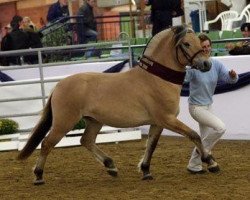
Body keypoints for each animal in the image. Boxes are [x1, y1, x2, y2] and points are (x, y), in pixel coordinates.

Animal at [17, 24, 217, 184]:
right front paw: (211, 162)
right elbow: (194, 135)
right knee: (47, 143)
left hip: (94, 121)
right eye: (186, 44)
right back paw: (38, 176)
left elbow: (151, 146)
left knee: (85, 140)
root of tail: (59, 86)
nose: (206, 64)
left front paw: (145, 171)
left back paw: (111, 166)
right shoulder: (167, 119)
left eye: (199, 42)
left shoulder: (157, 123)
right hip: (64, 122)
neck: (155, 79)